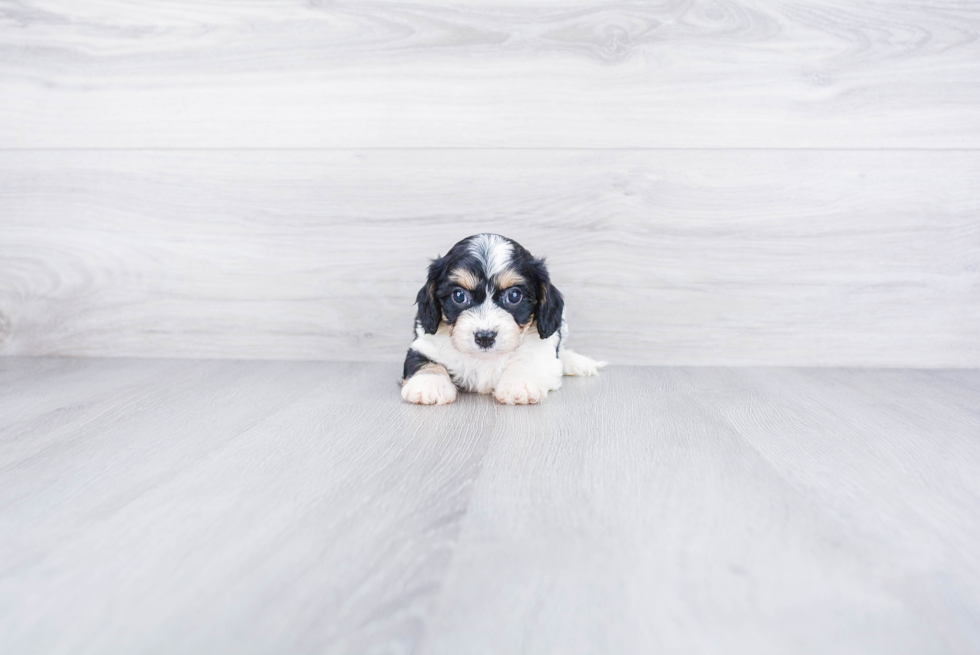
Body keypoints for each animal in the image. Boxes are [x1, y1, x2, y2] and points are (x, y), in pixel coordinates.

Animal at [400, 233, 600, 402]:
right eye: (459, 296)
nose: (485, 337)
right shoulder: (424, 344)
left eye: (514, 296)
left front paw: (520, 383)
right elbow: (425, 362)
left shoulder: (543, 352)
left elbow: (527, 361)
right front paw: (428, 384)